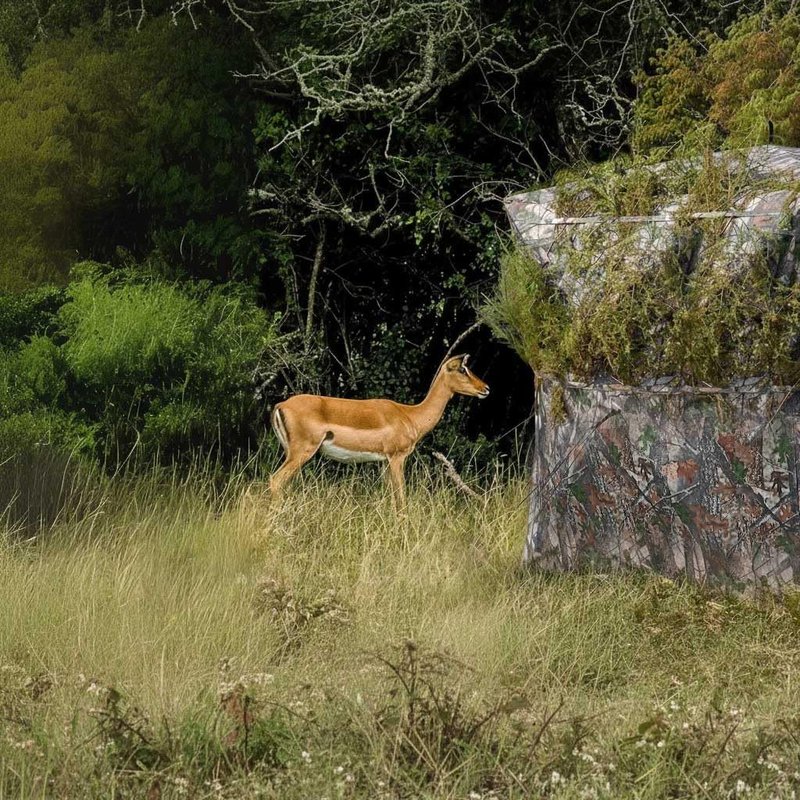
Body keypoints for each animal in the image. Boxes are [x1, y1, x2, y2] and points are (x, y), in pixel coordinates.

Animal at [268, 354, 490, 505]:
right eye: (462, 369)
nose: (486, 388)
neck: (410, 415)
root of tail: (281, 405)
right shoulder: (397, 458)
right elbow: (401, 498)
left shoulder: (383, 462)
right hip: (302, 452)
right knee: (275, 481)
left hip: (291, 453)